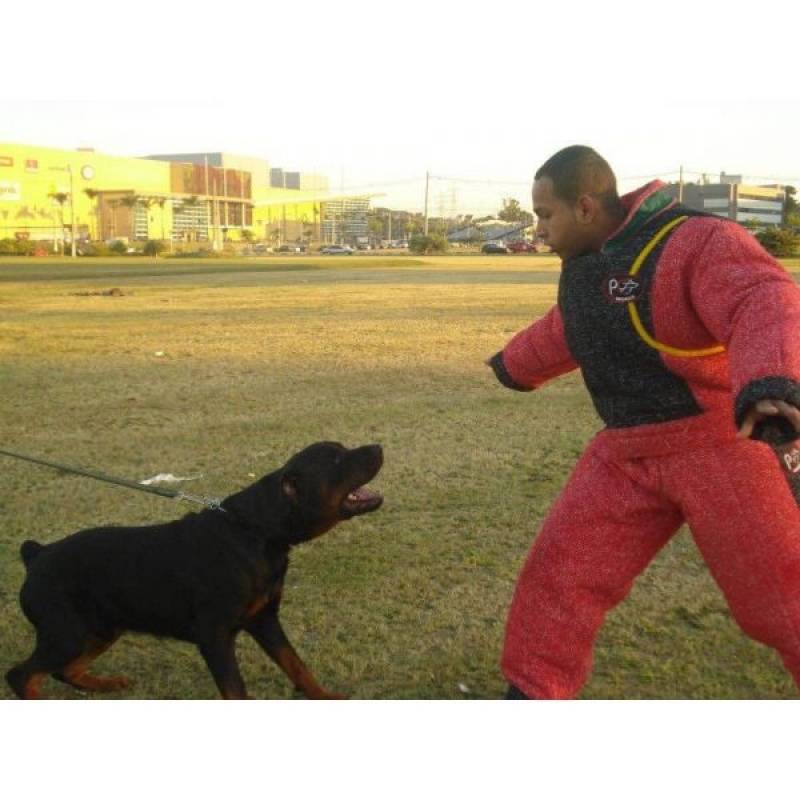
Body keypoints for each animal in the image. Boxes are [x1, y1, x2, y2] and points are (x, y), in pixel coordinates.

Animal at [5, 440, 382, 696]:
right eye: (336, 459)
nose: (378, 446)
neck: (255, 531)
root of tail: (37, 555)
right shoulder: (214, 636)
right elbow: (237, 691)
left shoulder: (264, 620)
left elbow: (297, 666)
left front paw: (326, 697)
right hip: (66, 632)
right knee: (22, 676)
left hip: (100, 628)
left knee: (64, 671)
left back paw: (106, 684)